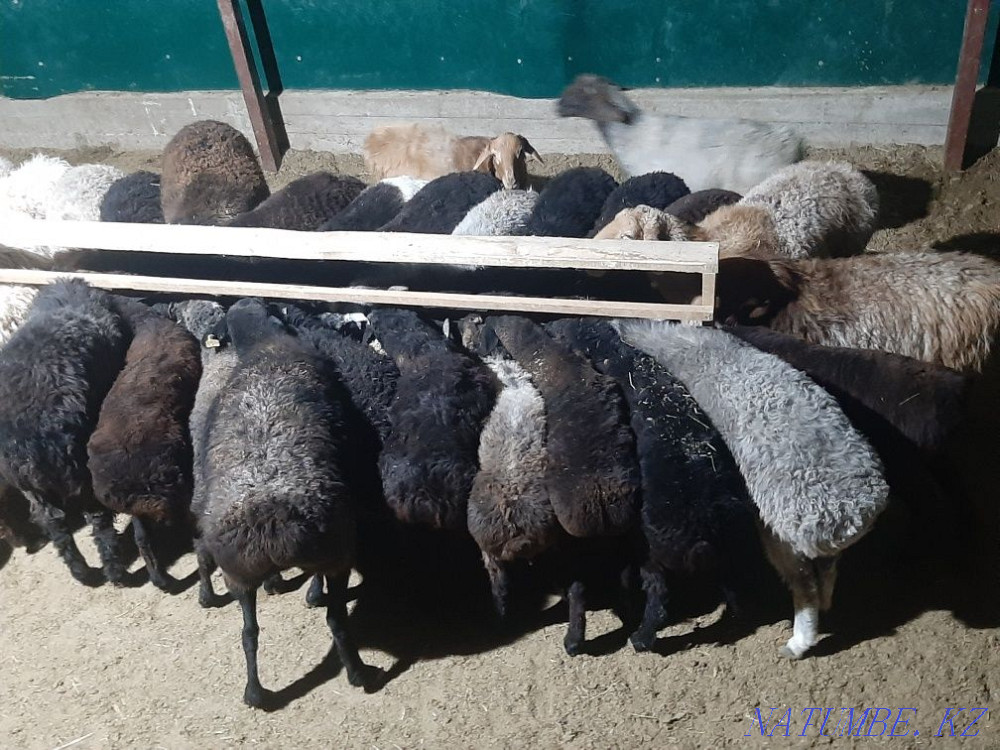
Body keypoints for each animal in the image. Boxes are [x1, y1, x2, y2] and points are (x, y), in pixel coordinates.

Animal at [0, 280, 130, 586]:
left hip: (34, 489)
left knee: (54, 525)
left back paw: (81, 572)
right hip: (80, 472)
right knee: (97, 519)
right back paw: (114, 571)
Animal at [194, 298, 372, 707]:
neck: (265, 343)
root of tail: (269, 520)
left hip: (239, 574)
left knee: (249, 633)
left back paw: (255, 692)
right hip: (336, 549)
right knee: (336, 619)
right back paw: (356, 671)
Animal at [546, 318, 759, 651]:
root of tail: (702, 521)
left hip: (652, 552)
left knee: (659, 599)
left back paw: (638, 639)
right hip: (722, 543)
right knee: (730, 583)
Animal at [617, 321, 890, 658]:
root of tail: (852, 511)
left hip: (782, 534)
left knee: (806, 588)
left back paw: (798, 642)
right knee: (827, 571)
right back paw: (826, 601)